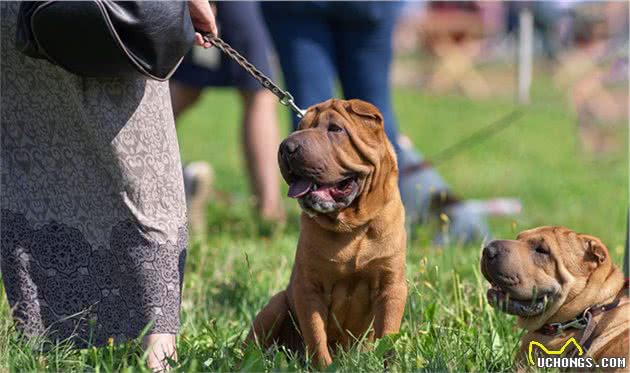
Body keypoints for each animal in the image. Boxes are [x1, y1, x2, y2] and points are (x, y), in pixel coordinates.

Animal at [249, 97, 408, 364]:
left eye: (335, 129)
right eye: (299, 128)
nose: (287, 147)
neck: (352, 226)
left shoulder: (391, 284)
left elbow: (388, 331)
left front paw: (391, 364)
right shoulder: (309, 287)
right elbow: (316, 335)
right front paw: (323, 365)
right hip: (276, 305)